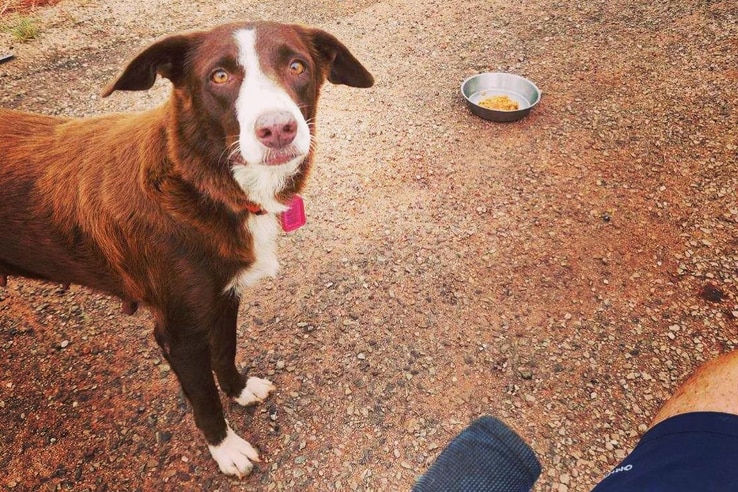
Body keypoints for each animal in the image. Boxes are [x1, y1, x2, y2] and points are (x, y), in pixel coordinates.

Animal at [0, 21, 370, 478]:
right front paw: (225, 448)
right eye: (219, 76)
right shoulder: (178, 333)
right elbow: (205, 398)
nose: (278, 128)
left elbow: (225, 351)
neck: (200, 183)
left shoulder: (224, 297)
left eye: (297, 66)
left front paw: (239, 390)